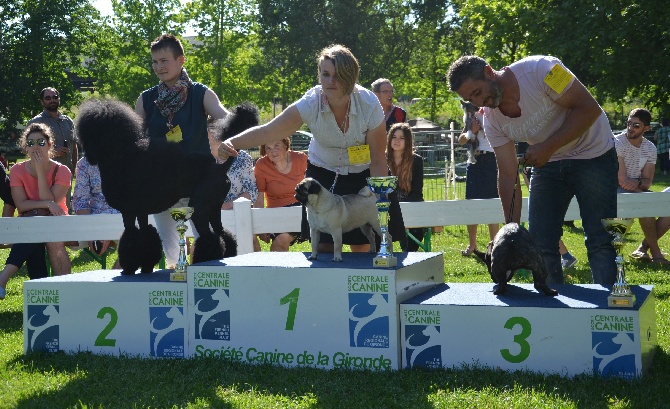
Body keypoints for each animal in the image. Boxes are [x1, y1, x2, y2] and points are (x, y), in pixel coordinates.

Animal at [75, 98, 260, 274]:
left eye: (90, 132)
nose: (83, 150)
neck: (120, 156)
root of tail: (220, 167)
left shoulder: (128, 211)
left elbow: (130, 236)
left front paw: (128, 269)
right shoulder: (141, 212)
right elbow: (145, 234)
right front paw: (146, 267)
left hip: (199, 208)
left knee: (210, 237)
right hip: (214, 207)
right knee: (223, 234)